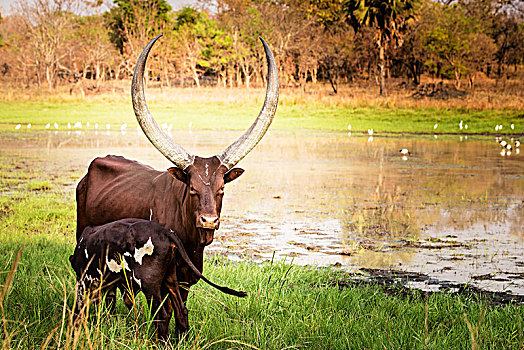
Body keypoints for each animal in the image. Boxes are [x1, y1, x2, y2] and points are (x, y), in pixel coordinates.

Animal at [69, 217, 246, 340]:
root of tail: (165, 232)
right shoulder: (109, 286)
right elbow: (108, 308)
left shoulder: (83, 282)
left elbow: (79, 309)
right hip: (170, 281)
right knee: (181, 311)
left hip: (150, 286)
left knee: (162, 316)